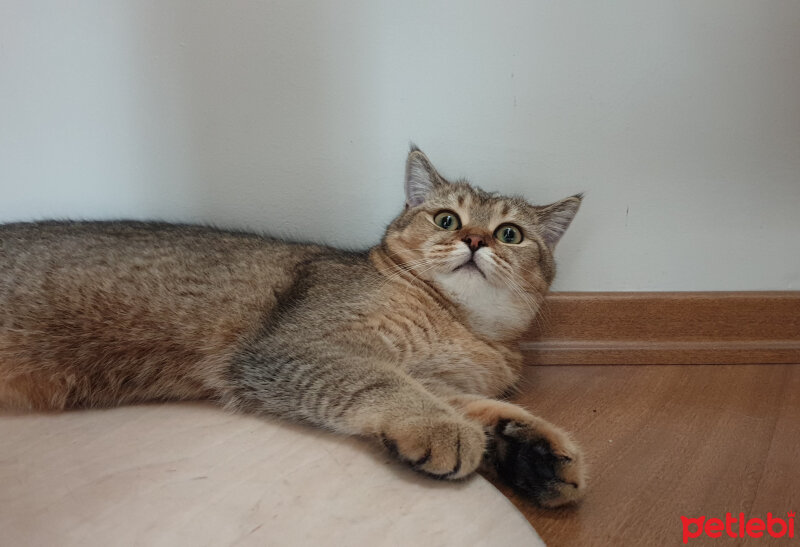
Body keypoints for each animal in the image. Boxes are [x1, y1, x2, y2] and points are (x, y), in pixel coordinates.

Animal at [0, 148, 588, 508]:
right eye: (447, 219)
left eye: (509, 233)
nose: (475, 240)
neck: (464, 325)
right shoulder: (293, 348)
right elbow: (387, 382)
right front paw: (441, 429)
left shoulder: (440, 380)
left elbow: (483, 407)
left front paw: (534, 453)